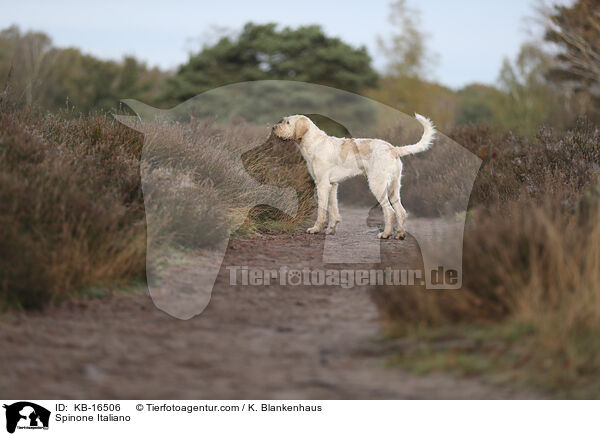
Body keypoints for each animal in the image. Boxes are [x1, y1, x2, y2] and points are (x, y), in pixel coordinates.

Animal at [274, 113, 436, 238]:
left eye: (287, 122)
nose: (274, 127)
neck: (314, 143)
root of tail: (393, 149)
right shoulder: (332, 185)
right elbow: (333, 209)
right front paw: (330, 229)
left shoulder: (322, 184)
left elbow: (322, 210)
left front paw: (315, 229)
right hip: (393, 188)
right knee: (401, 211)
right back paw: (400, 234)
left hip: (377, 186)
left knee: (389, 211)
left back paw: (385, 234)